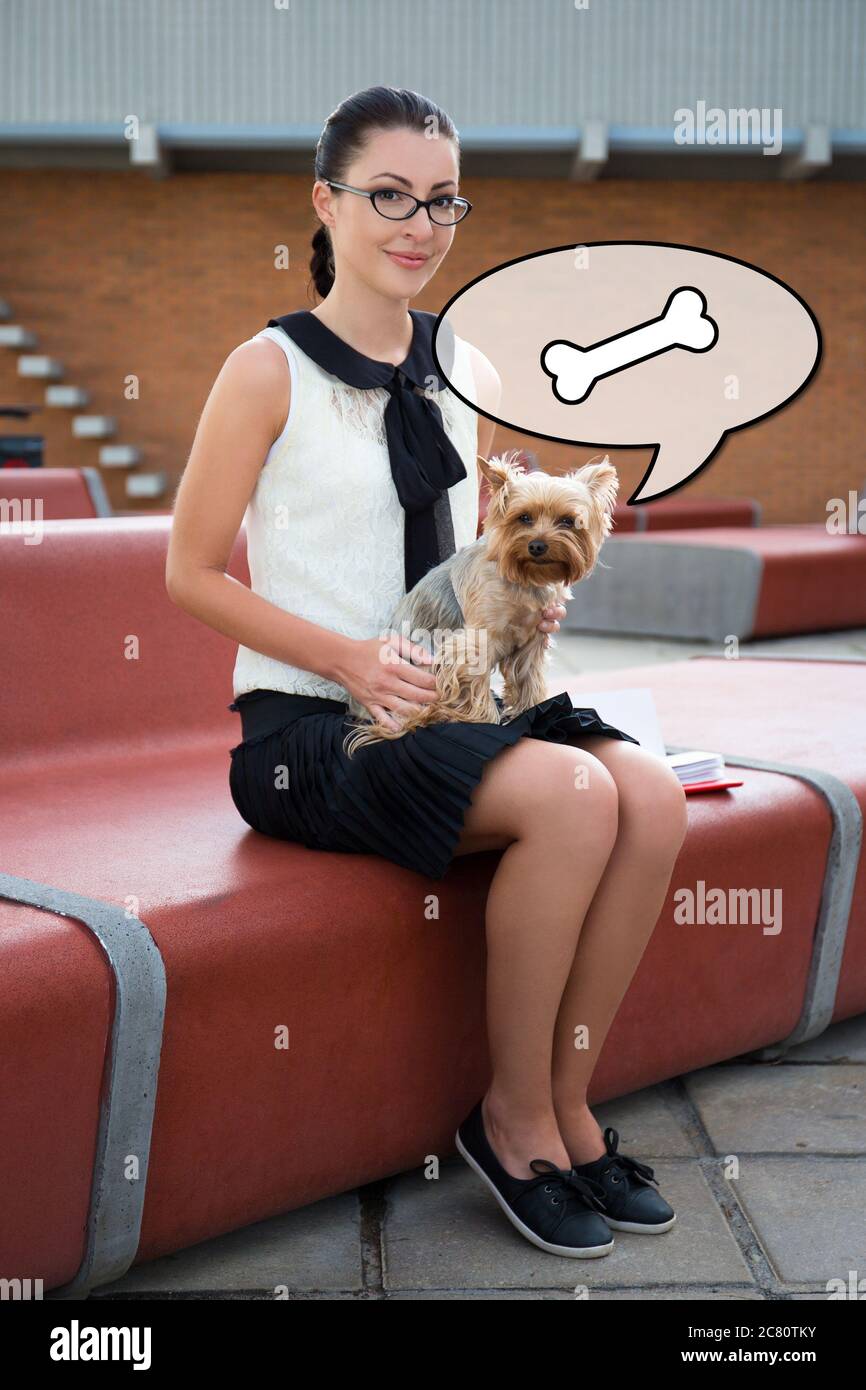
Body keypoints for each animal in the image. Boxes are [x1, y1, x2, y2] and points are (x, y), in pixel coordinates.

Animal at [341, 450, 619, 761]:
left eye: (568, 521)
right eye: (524, 517)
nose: (537, 546)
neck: (524, 578)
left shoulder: (532, 640)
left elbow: (529, 679)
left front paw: (534, 711)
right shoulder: (475, 642)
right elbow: (474, 682)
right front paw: (486, 722)